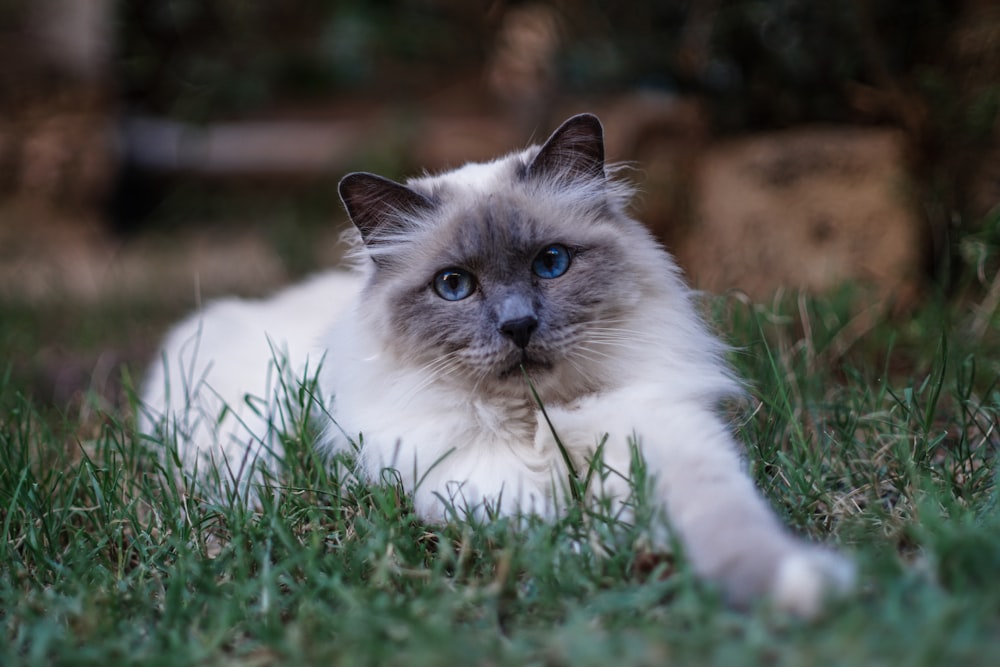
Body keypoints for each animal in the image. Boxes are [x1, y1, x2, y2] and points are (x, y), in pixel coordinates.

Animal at [141, 113, 856, 616]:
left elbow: (735, 535)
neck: (540, 425)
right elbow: (555, 530)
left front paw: (803, 588)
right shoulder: (469, 489)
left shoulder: (674, 447)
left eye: (551, 263)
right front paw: (613, 553)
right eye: (455, 286)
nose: (517, 326)